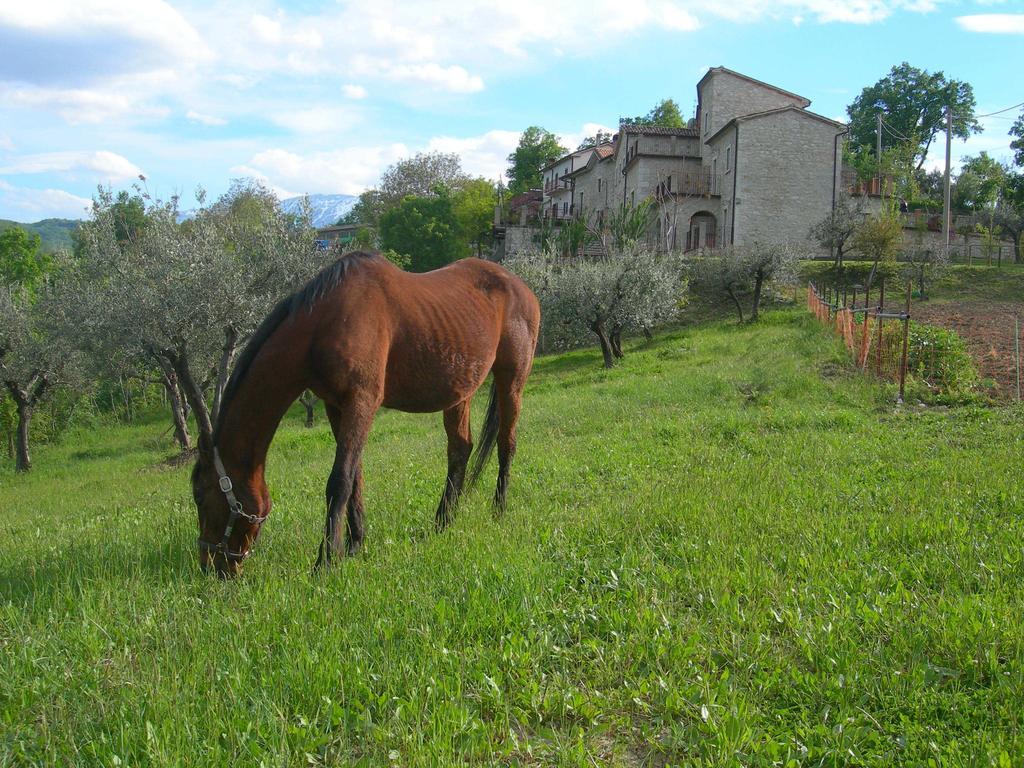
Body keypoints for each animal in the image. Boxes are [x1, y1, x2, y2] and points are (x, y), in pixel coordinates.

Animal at [192, 252, 544, 577]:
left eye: (200, 497)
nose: (211, 566)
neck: (324, 323)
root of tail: (522, 287)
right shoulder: (336, 406)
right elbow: (356, 477)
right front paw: (354, 545)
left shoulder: (361, 402)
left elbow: (340, 481)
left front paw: (326, 561)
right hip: (460, 391)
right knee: (460, 450)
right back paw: (443, 522)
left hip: (512, 381)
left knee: (506, 444)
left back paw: (498, 509)